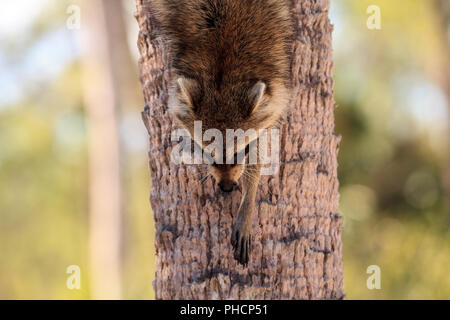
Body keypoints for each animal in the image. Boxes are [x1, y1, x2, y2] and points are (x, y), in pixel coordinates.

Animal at [148, 0, 294, 264]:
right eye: (208, 153)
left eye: (239, 152)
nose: (226, 187)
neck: (223, 75)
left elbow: (260, 152)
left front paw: (248, 202)